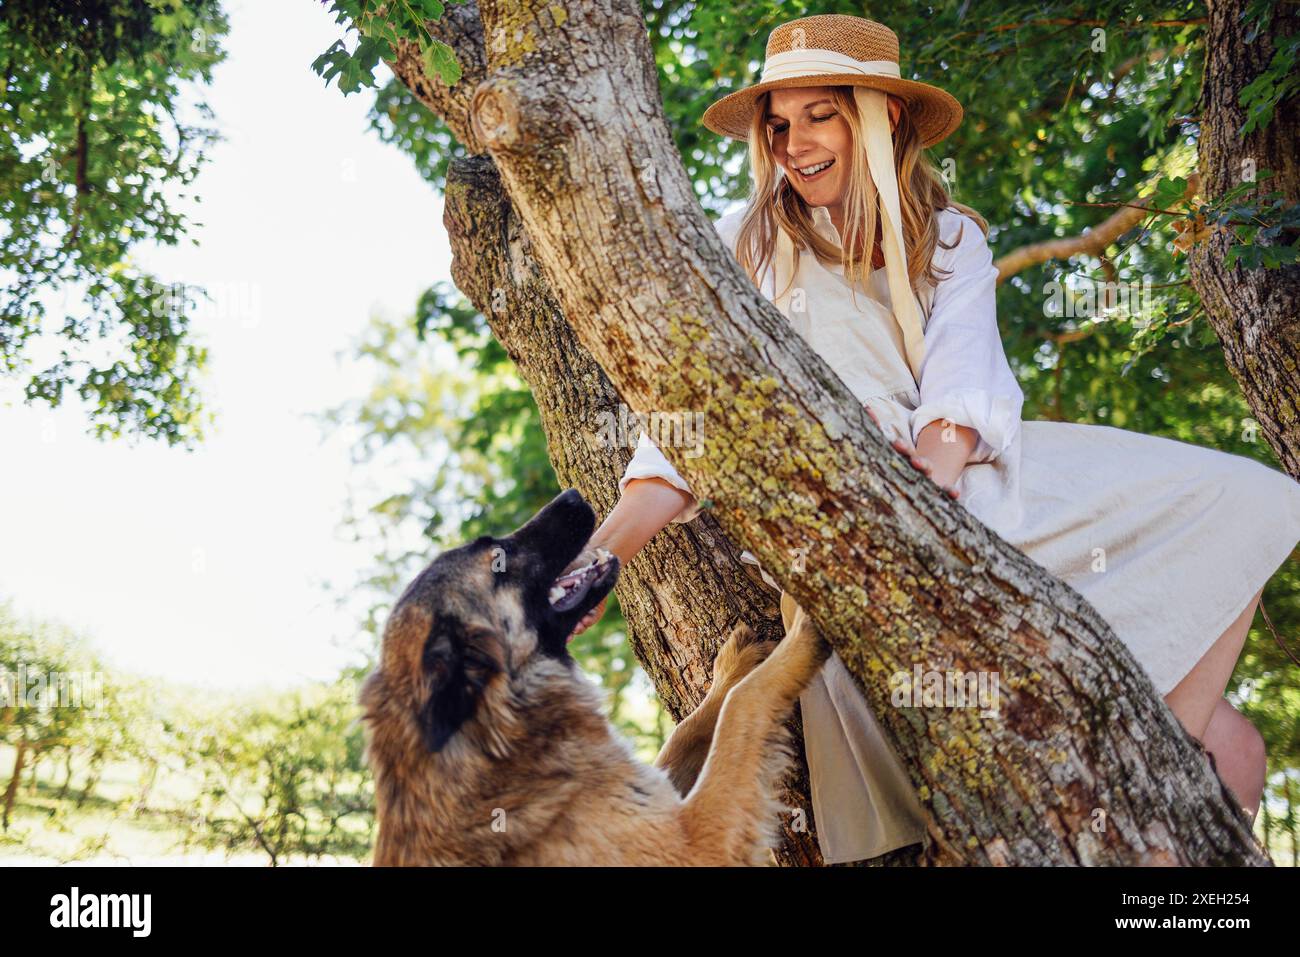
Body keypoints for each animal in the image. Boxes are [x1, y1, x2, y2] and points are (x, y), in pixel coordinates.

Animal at [358, 488, 821, 863]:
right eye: (495, 557)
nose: (572, 494)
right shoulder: (694, 841)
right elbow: (742, 706)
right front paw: (801, 629)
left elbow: (690, 728)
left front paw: (729, 671)